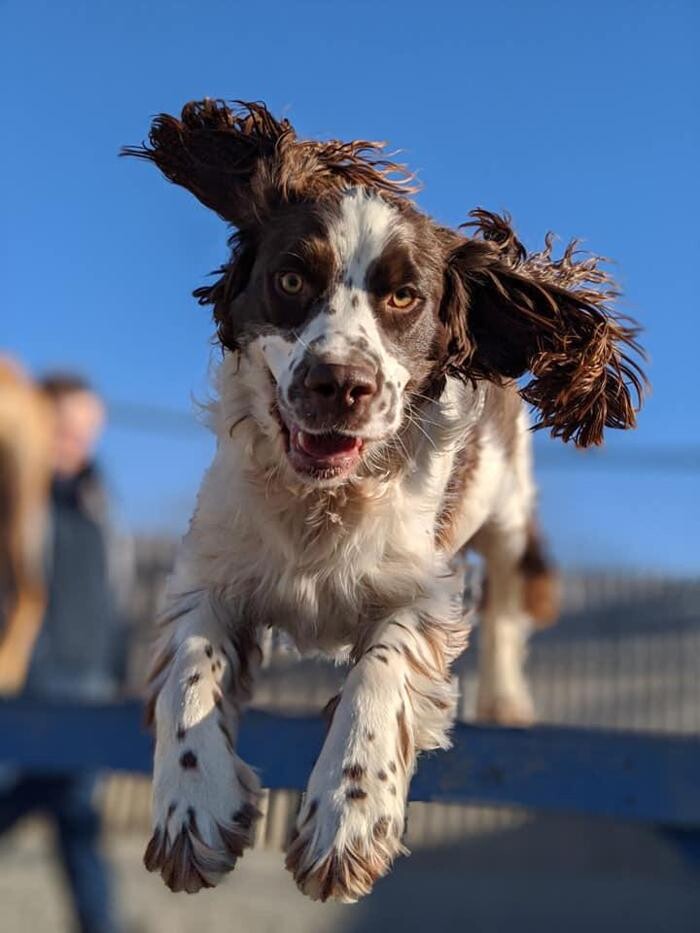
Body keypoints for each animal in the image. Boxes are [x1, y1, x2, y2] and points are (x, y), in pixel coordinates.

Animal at [124, 100, 644, 904]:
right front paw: (193, 807)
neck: (324, 501)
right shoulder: (211, 570)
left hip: (506, 507)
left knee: (505, 605)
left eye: (404, 296)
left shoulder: (425, 587)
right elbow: (189, 667)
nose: (340, 383)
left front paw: (347, 817)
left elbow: (384, 662)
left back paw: (506, 700)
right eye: (291, 278)